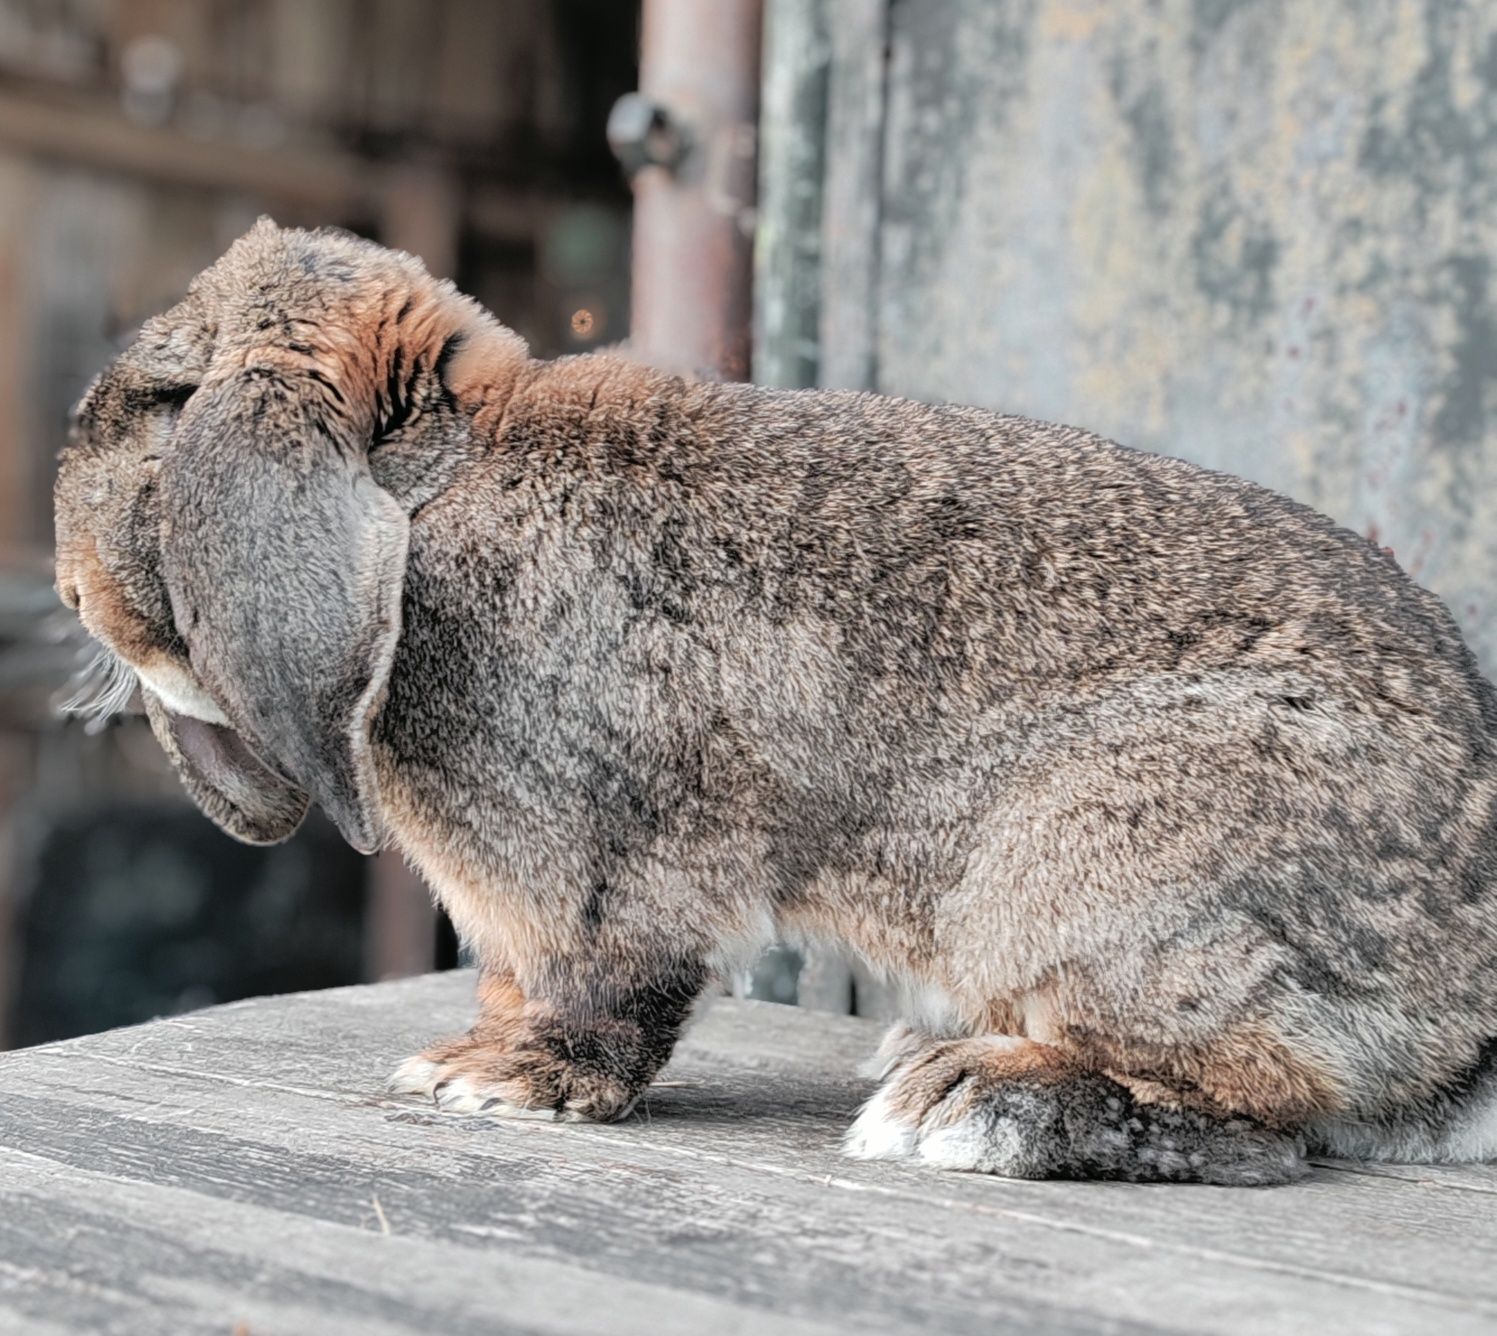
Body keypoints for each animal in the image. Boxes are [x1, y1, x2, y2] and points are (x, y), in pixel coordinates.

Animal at [52, 221, 1497, 1192]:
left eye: (163, 405)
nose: (64, 585)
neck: (436, 483)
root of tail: (1462, 1014)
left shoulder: (589, 867)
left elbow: (600, 982)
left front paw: (492, 1083)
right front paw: (467, 1052)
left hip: (1095, 868)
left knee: (1265, 1113)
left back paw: (967, 1101)